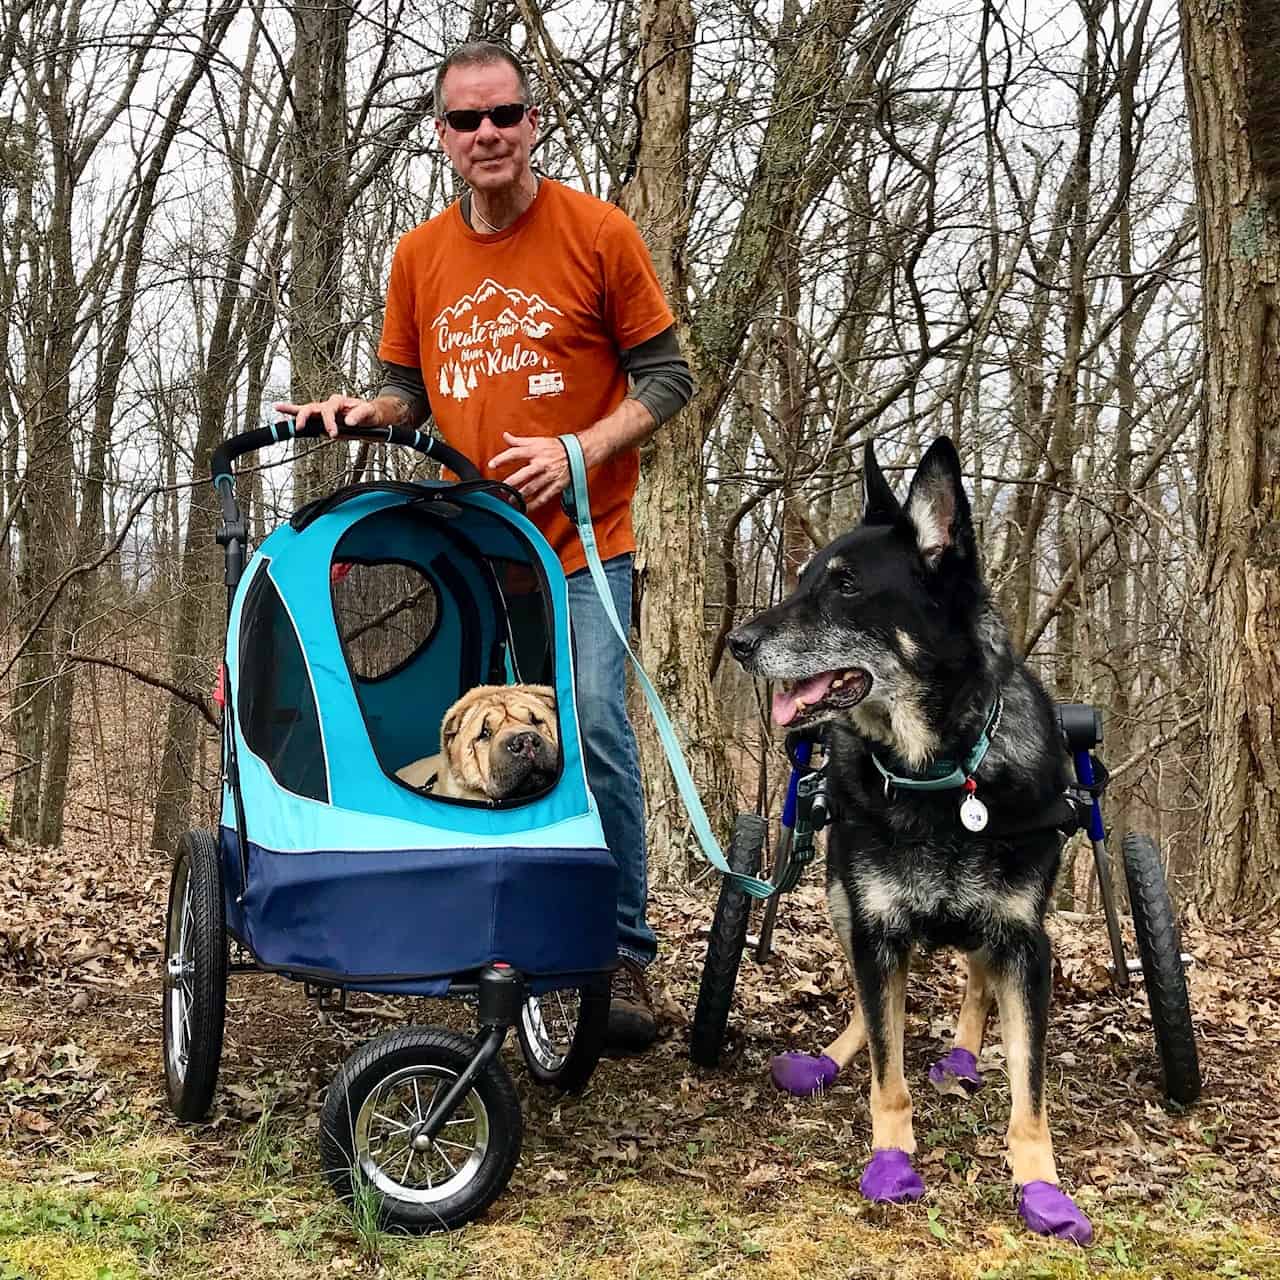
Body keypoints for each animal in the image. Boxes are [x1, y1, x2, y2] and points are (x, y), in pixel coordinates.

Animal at [732, 437, 1090, 1239]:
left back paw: (961, 1055)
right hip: (841, 902)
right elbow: (888, 1069)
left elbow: (1030, 1086)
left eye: (846, 587)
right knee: (875, 1012)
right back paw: (837, 1052)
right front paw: (892, 1157)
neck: (938, 775)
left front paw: (1041, 1184)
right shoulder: (874, 928)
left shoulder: (1027, 942)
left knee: (974, 987)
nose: (736, 642)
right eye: (803, 579)